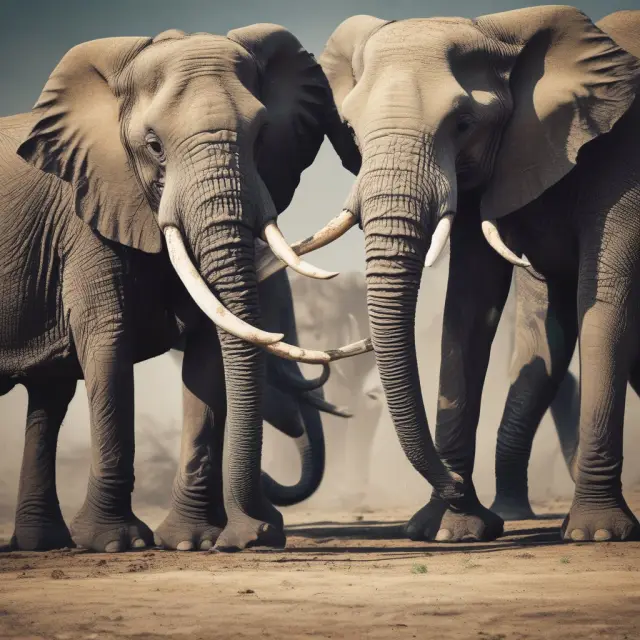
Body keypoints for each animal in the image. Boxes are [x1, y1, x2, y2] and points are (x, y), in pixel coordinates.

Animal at [0, 24, 363, 552]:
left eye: (261, 136)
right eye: (153, 145)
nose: (257, 536)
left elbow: (207, 353)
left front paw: (194, 541)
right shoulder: (85, 218)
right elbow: (108, 342)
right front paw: (117, 544)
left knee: (50, 394)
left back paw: (42, 544)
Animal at [299, 7, 640, 543]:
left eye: (463, 124)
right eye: (350, 129)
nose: (454, 483)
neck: (500, 29)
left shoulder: (625, 153)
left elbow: (604, 307)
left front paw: (598, 534)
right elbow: (468, 307)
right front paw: (450, 531)